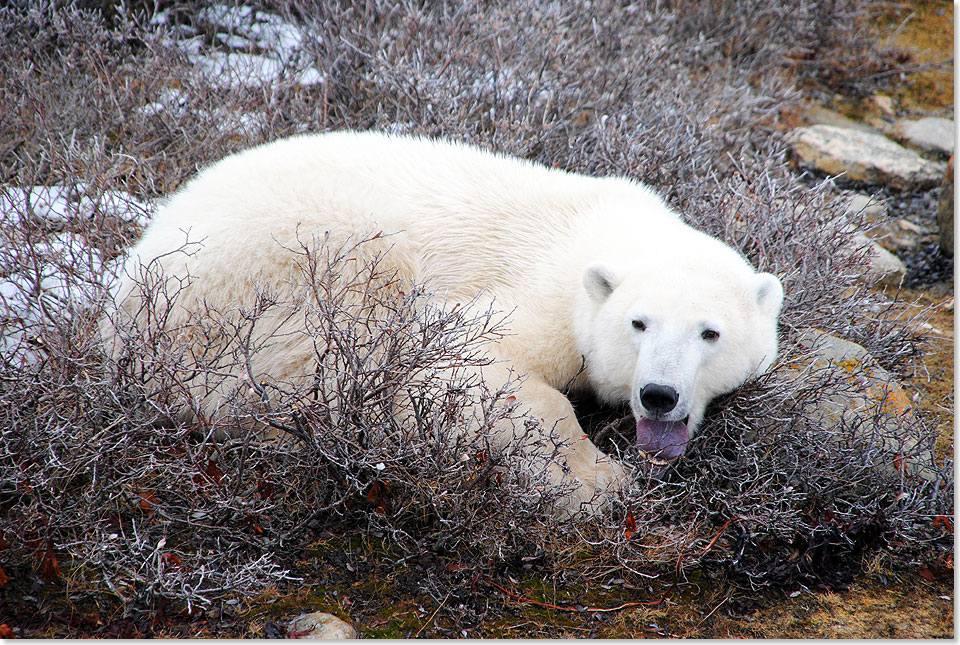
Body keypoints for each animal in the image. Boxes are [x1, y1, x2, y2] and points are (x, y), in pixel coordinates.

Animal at [105, 131, 784, 512]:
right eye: (638, 324)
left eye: (710, 333)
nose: (659, 394)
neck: (612, 231)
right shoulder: (540, 289)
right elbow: (460, 366)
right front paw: (596, 481)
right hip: (278, 271)